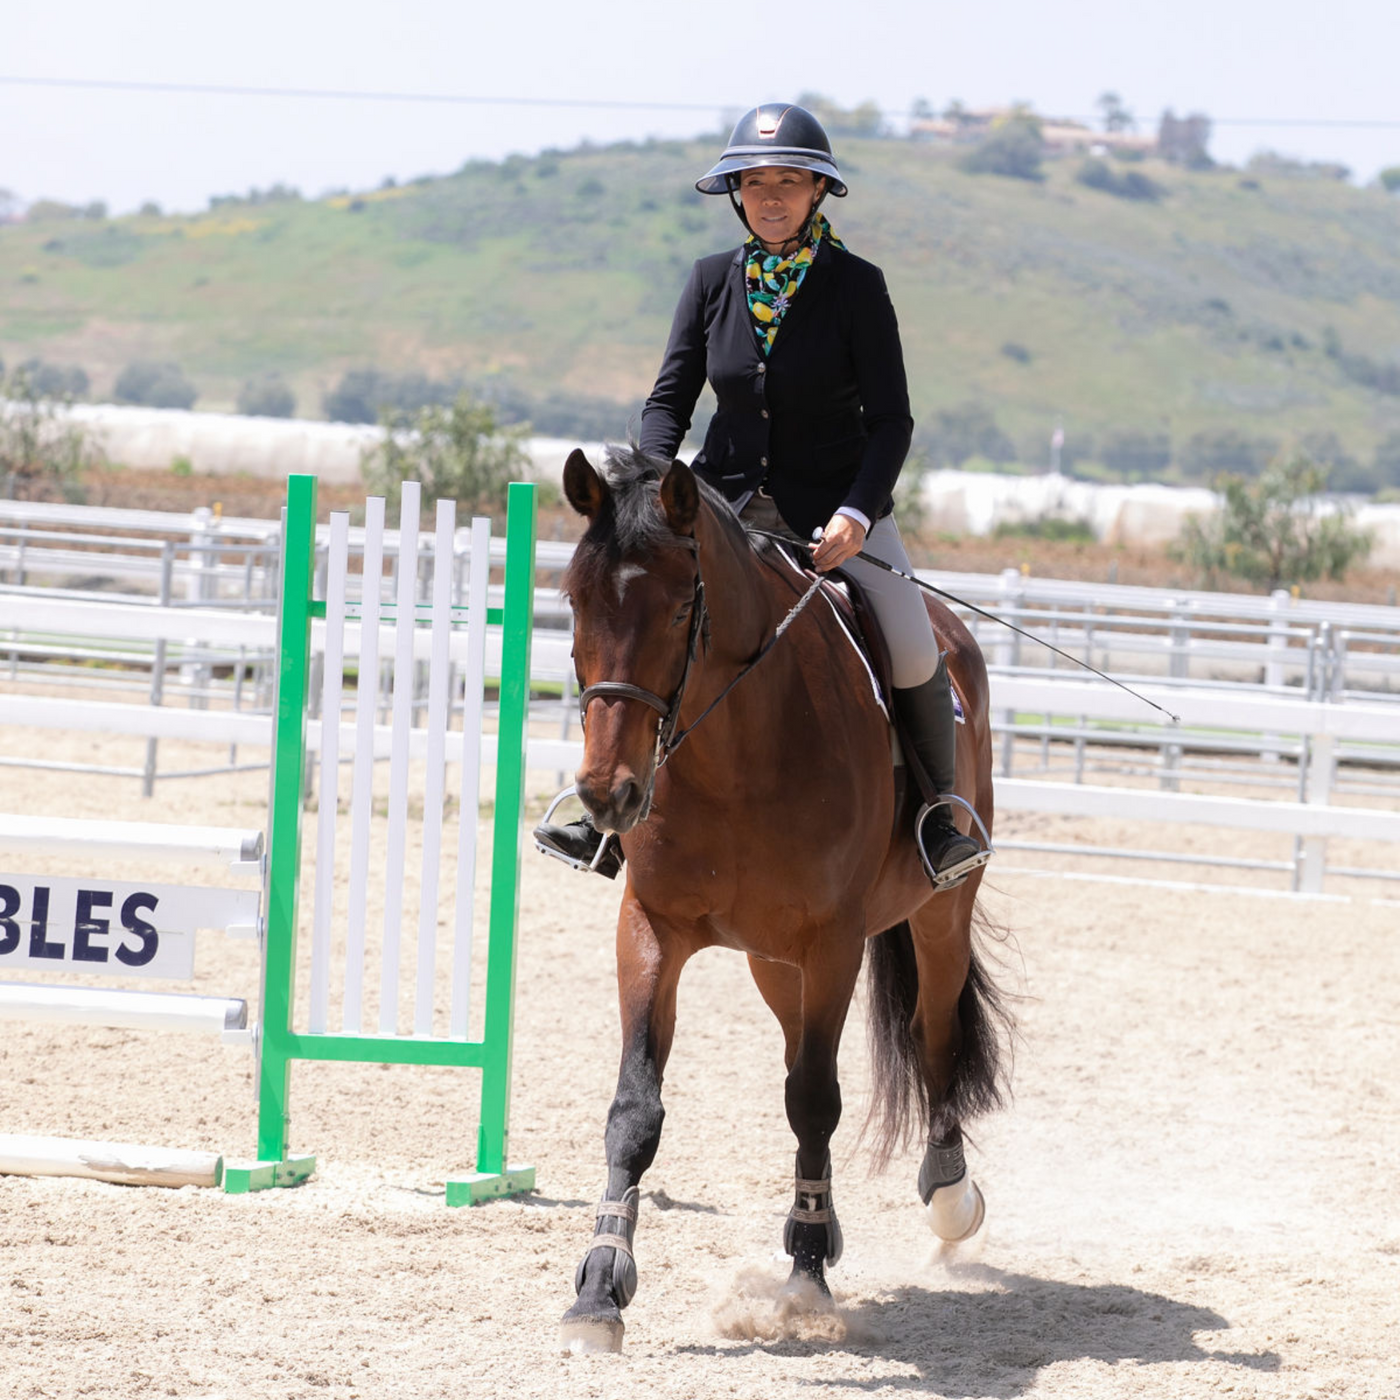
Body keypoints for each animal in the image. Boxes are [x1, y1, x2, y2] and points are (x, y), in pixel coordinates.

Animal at [554, 442, 1008, 1349]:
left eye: (679, 610)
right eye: (576, 603)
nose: (608, 796)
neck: (733, 754)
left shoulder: (832, 941)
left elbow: (814, 1100)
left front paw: (804, 1278)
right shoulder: (650, 927)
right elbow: (636, 1107)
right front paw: (599, 1288)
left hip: (938, 914)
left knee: (934, 1036)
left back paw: (946, 1197)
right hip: (773, 962)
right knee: (806, 1046)